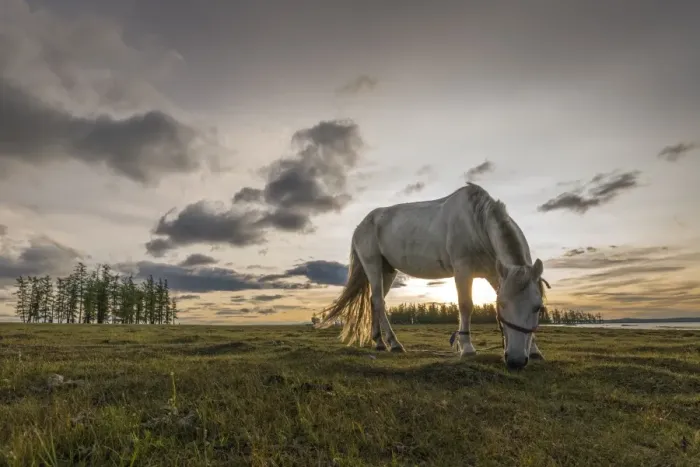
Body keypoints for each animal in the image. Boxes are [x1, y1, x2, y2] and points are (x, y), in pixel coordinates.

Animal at [314, 182, 550, 370]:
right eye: (501, 305)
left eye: (538, 307)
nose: (516, 361)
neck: (477, 224)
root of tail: (361, 225)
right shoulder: (463, 269)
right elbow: (466, 305)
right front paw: (467, 348)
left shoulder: (495, 273)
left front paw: (535, 350)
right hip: (372, 265)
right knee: (379, 302)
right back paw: (394, 344)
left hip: (387, 271)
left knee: (374, 301)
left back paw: (379, 342)